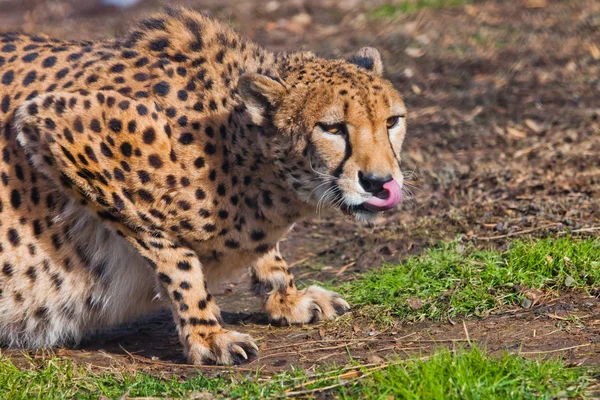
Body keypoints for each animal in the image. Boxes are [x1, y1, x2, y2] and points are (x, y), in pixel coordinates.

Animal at [0, 7, 408, 364]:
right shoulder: (50, 124)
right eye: (333, 128)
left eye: (392, 121)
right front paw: (207, 334)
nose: (380, 182)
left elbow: (265, 252)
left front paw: (287, 296)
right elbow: (175, 255)